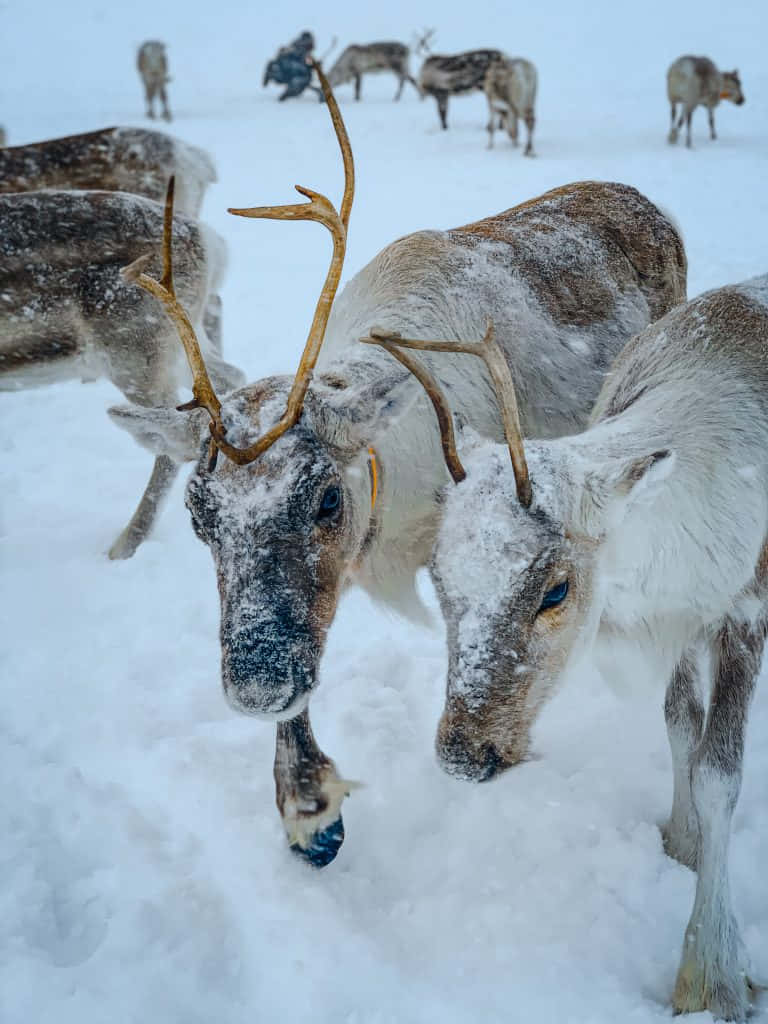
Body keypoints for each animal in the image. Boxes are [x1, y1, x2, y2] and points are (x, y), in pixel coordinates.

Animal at [0, 187, 243, 559]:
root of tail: (210, 241)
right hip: (179, 343)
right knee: (230, 379)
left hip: (136, 350)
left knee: (172, 435)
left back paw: (123, 545)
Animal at [367, 273, 768, 1020]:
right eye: (437, 574)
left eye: (555, 589)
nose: (464, 755)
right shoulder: (673, 618)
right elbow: (679, 726)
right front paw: (680, 842)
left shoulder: (745, 609)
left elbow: (718, 773)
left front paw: (714, 973)